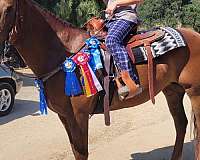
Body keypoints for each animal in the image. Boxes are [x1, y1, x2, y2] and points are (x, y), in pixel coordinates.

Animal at [0, 0, 199, 160]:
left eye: (9, 8)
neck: (63, 54)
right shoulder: (64, 116)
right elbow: (75, 149)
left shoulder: (78, 116)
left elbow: (81, 152)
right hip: (172, 90)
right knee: (181, 124)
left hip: (194, 92)